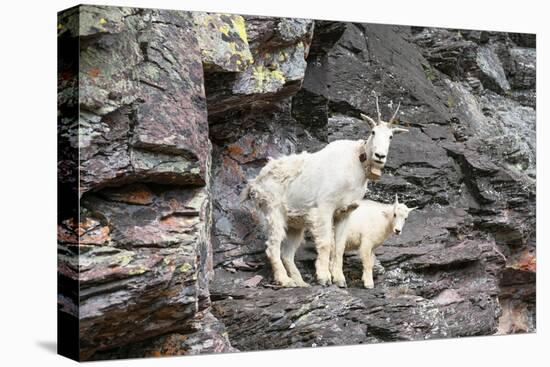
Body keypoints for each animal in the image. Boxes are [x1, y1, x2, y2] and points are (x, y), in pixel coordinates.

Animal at [243, 97, 410, 288]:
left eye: (391, 136)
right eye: (373, 132)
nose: (380, 156)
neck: (355, 166)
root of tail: (255, 182)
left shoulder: (346, 212)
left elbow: (339, 245)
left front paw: (339, 279)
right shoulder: (325, 207)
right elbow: (325, 243)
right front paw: (324, 277)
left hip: (295, 223)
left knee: (287, 253)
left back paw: (300, 282)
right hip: (274, 211)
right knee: (272, 247)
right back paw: (285, 280)